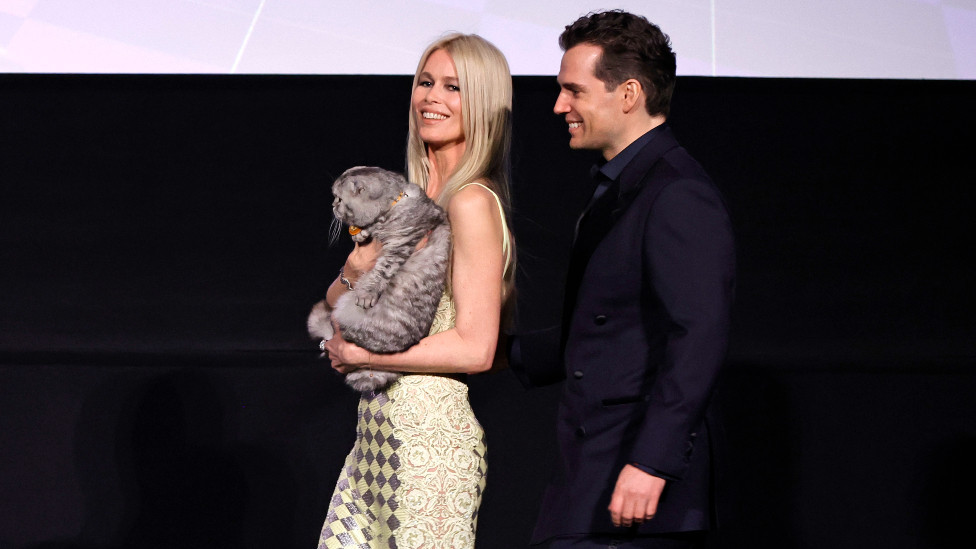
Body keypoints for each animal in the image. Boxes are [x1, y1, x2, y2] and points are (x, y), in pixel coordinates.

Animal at [306, 165, 452, 392]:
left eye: (338, 199)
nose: (332, 205)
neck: (392, 206)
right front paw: (360, 233)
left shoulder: (399, 245)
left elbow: (381, 271)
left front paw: (367, 292)